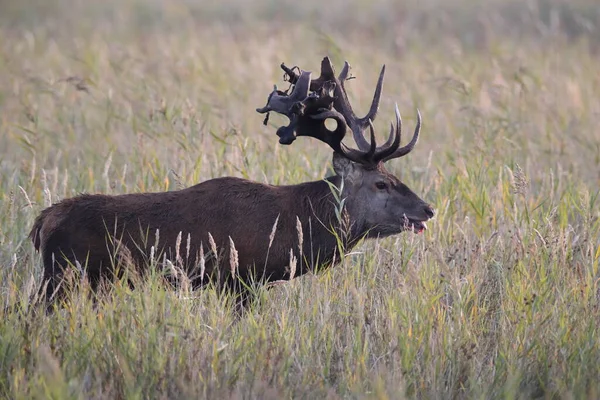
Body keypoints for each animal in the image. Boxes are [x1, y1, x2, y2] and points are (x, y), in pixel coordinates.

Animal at [28, 56, 434, 308]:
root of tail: (41, 221)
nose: (428, 209)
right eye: (381, 184)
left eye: (395, 177)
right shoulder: (237, 277)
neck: (289, 225)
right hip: (62, 276)